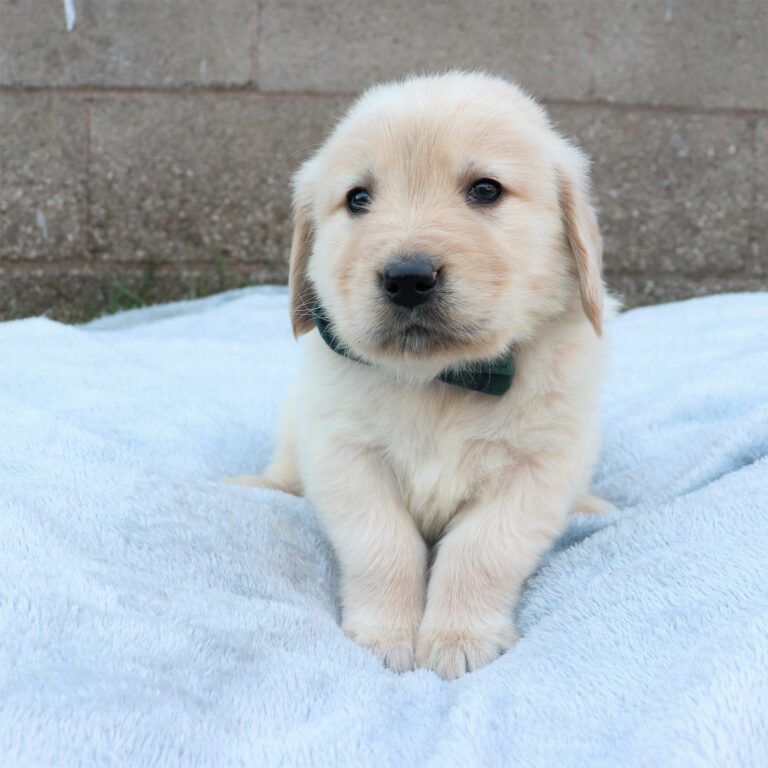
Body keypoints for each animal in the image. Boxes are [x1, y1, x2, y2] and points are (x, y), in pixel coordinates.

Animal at [231, 72, 616, 680]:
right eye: (358, 198)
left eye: (485, 190)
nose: (407, 277)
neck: (441, 381)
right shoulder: (345, 455)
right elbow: (382, 546)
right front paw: (383, 636)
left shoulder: (537, 468)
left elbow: (481, 551)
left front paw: (459, 639)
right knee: (286, 472)